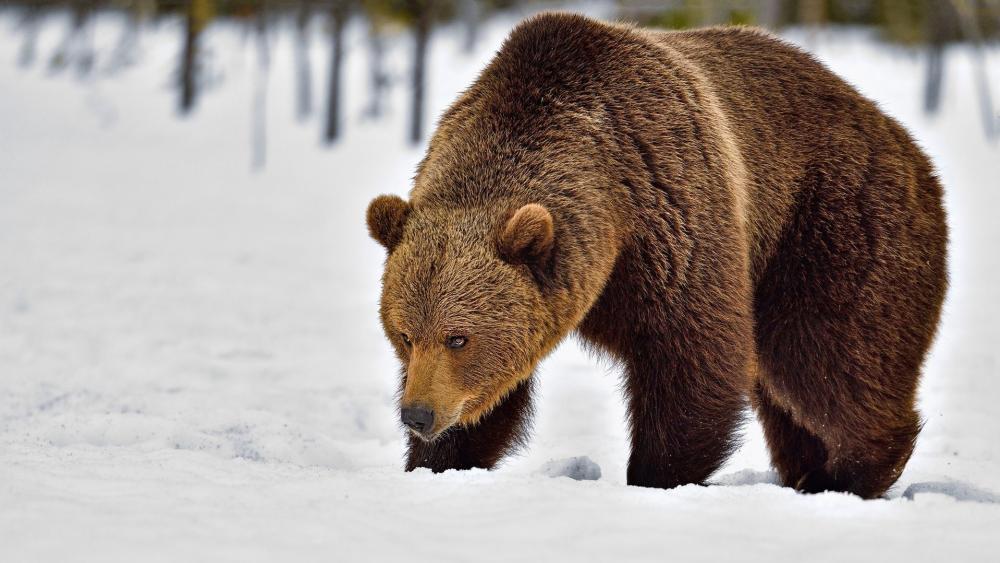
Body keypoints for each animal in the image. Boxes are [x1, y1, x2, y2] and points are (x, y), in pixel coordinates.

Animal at [365, 13, 948, 499]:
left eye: (458, 337)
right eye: (405, 334)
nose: (417, 414)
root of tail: (901, 136)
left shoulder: (672, 211)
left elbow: (691, 354)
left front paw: (656, 476)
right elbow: (491, 399)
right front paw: (439, 462)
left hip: (832, 227)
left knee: (831, 355)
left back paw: (847, 475)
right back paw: (808, 471)